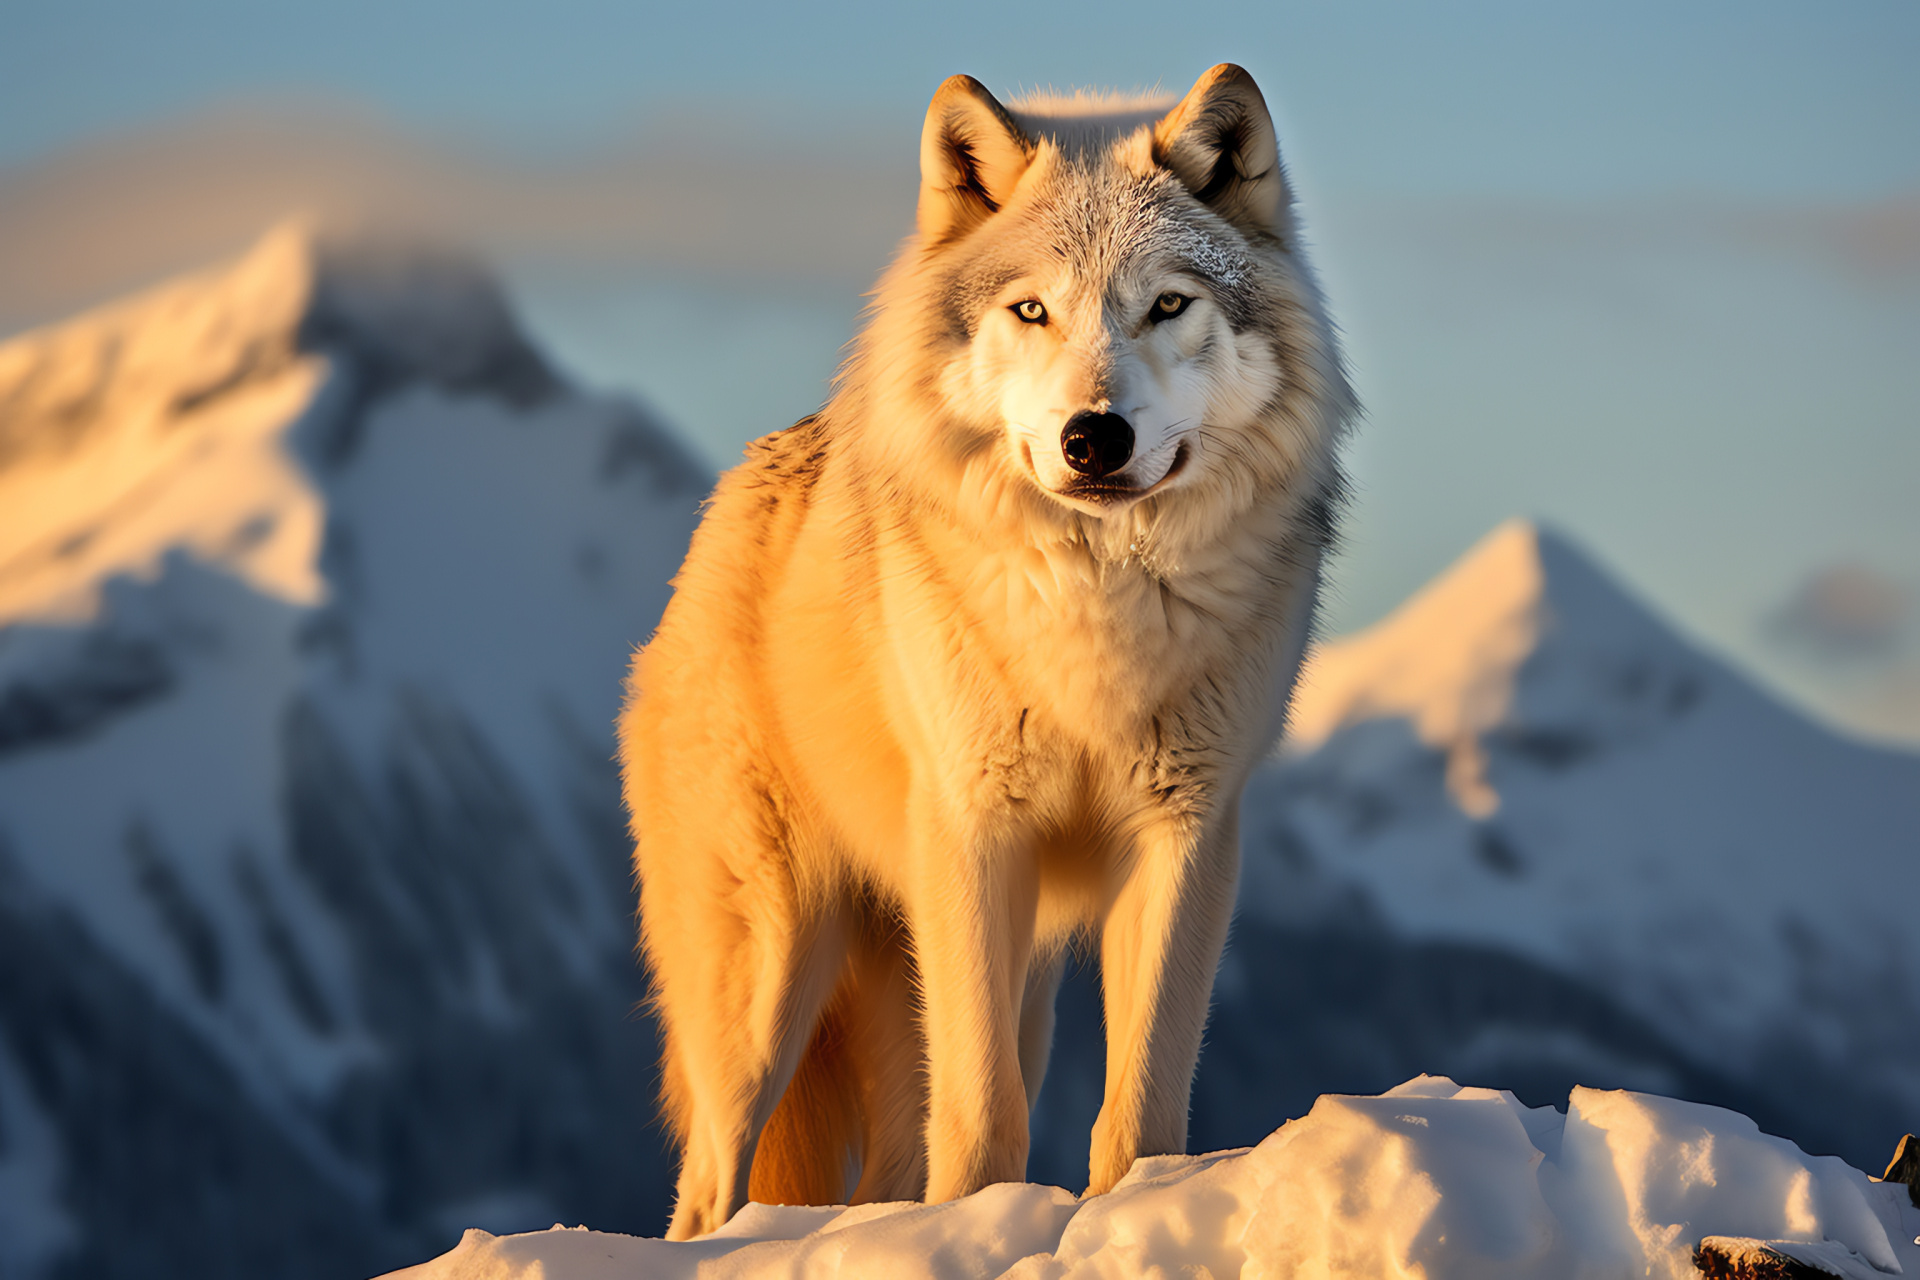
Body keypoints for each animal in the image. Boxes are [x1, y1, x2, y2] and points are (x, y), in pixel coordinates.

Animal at [614, 62, 1351, 1243]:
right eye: (1032, 309)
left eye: (1168, 304)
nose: (1094, 437)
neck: (1101, 603)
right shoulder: (973, 833)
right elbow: (980, 1111)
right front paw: (975, 1227)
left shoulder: (1186, 837)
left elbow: (1140, 1105)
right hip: (766, 979)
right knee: (708, 1187)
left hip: (998, 978)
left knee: (880, 1172)